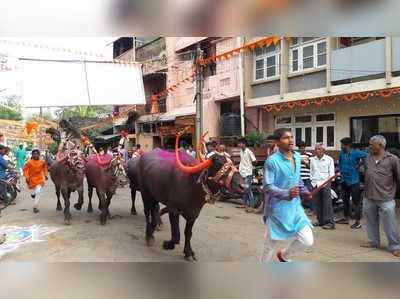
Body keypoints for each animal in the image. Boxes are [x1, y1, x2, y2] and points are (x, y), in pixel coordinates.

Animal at [127, 132, 247, 262]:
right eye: (218, 164)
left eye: (231, 161)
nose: (243, 186)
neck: (192, 185)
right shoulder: (174, 210)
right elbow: (176, 236)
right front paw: (167, 244)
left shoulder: (193, 214)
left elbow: (188, 233)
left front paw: (188, 252)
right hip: (145, 193)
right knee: (147, 212)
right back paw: (149, 235)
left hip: (155, 195)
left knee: (155, 210)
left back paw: (155, 225)